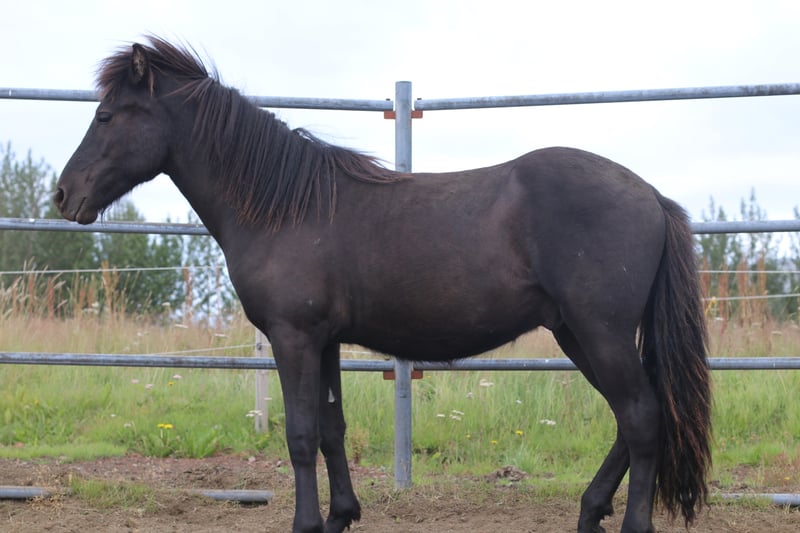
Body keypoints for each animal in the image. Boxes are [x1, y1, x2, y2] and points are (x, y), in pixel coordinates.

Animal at [54, 36, 712, 533]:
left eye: (106, 116)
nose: (65, 195)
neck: (286, 207)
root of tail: (651, 196)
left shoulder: (293, 337)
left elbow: (299, 435)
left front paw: (306, 524)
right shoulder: (324, 340)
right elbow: (330, 428)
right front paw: (341, 516)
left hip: (599, 332)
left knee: (642, 417)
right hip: (577, 333)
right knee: (634, 417)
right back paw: (590, 511)